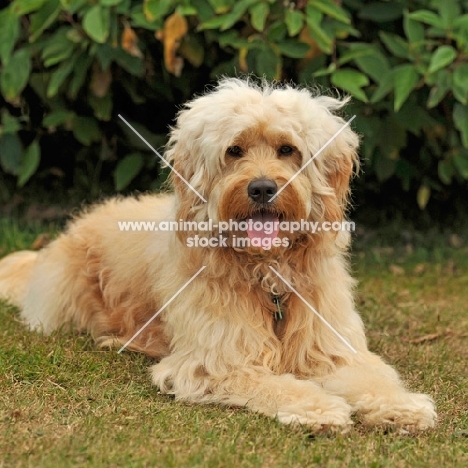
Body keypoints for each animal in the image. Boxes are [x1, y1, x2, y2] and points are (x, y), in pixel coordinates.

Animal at [0, 78, 436, 434]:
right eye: (234, 150)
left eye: (287, 149)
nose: (262, 188)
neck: (268, 275)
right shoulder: (216, 360)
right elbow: (275, 385)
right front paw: (318, 408)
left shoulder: (334, 350)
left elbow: (372, 378)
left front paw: (402, 407)